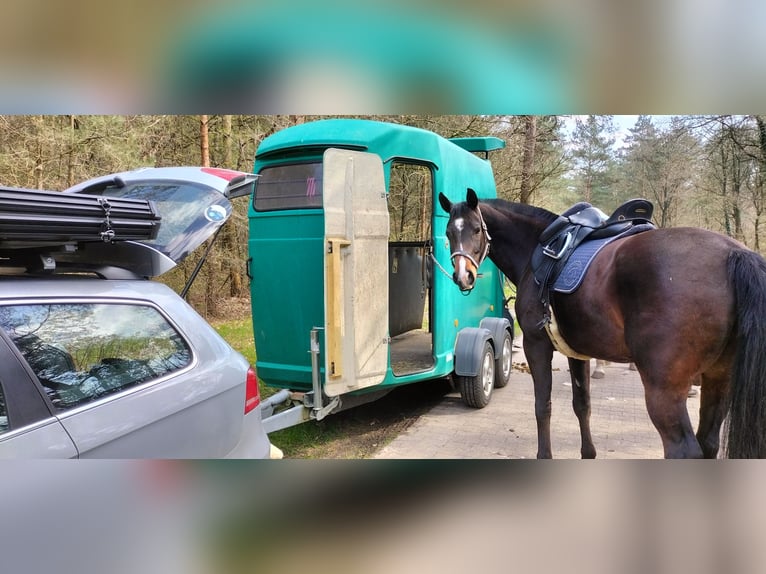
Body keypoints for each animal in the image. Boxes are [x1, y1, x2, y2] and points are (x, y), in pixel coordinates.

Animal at [440, 189, 766, 460]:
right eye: (448, 232)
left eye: (476, 229)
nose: (463, 276)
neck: (537, 249)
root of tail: (735, 253)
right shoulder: (575, 352)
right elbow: (582, 405)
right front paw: (589, 453)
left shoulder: (536, 345)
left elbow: (542, 406)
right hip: (719, 379)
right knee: (708, 442)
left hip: (664, 389)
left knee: (684, 450)